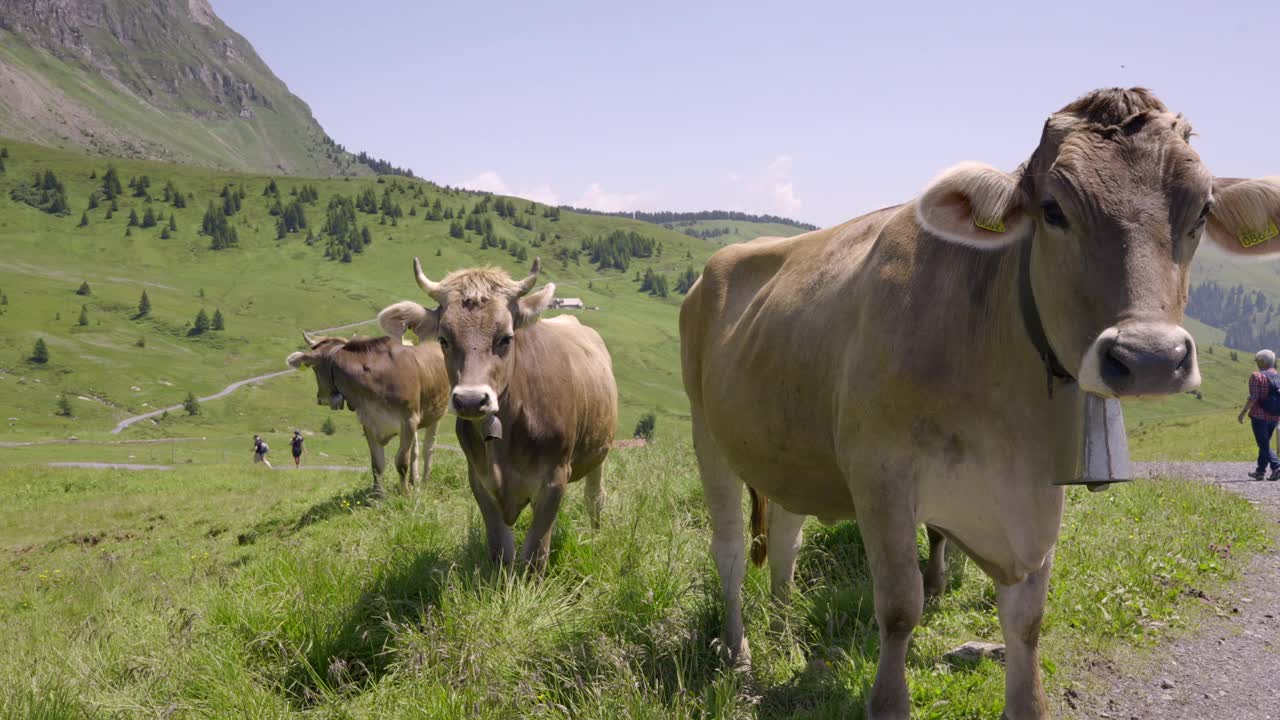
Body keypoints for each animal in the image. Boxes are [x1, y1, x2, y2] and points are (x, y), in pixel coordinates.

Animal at [285, 330, 450, 491]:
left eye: (314, 368)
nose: (320, 398)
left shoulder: (408, 421)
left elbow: (401, 463)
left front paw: (405, 495)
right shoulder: (370, 422)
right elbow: (377, 464)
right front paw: (377, 495)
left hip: (436, 412)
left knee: (428, 448)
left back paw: (424, 481)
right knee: (415, 450)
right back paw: (414, 480)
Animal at [376, 256, 616, 566]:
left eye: (506, 337)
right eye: (443, 339)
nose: (470, 399)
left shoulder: (554, 480)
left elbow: (535, 555)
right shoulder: (480, 481)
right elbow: (500, 550)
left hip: (599, 452)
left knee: (594, 497)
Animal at [680, 89, 1280, 717]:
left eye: (1202, 212)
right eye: (1052, 209)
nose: (1150, 358)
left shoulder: (1034, 500)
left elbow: (1027, 624)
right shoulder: (879, 476)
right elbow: (901, 607)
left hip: (788, 444)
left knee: (786, 538)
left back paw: (785, 631)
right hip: (707, 432)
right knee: (728, 549)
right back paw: (740, 653)